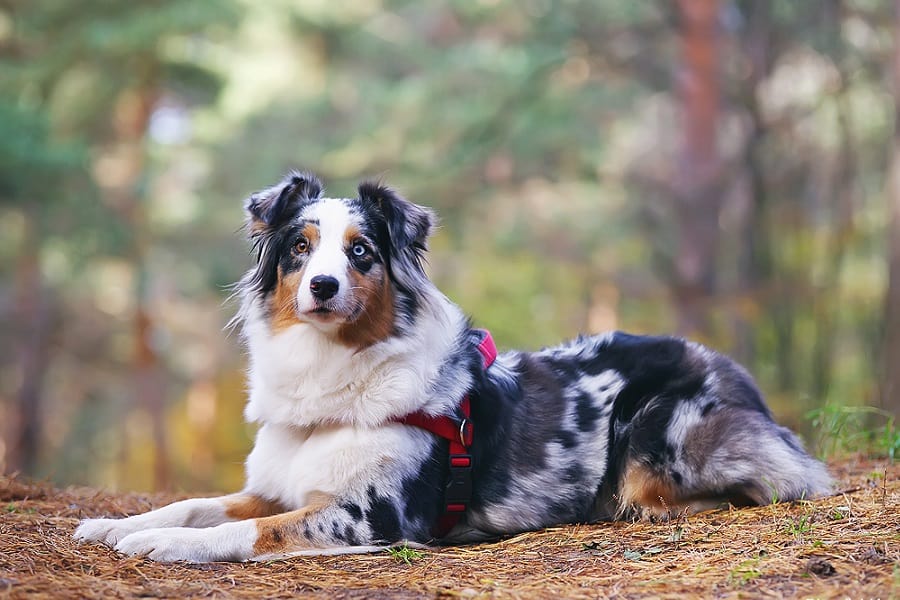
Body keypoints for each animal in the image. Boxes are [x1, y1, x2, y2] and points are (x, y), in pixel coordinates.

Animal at [74, 172, 832, 564]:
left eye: (361, 252)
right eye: (299, 248)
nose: (322, 286)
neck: (334, 374)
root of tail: (733, 371)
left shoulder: (370, 517)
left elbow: (243, 531)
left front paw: (164, 544)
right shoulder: (278, 486)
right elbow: (198, 503)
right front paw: (116, 525)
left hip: (658, 434)